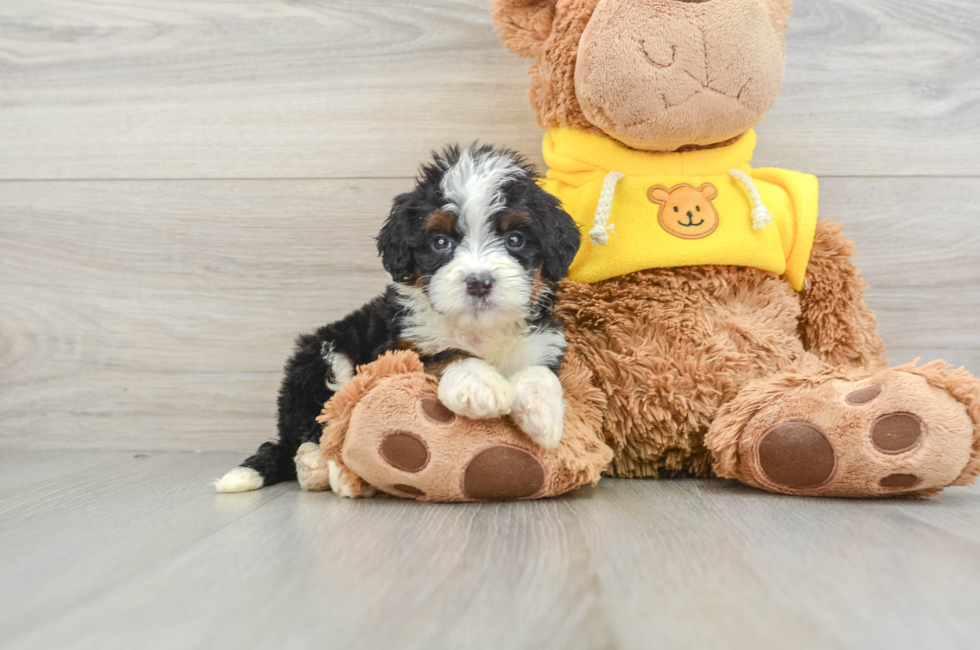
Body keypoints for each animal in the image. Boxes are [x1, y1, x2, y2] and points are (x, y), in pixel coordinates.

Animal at [216, 143, 580, 492]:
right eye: (440, 242)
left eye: (515, 239)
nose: (479, 282)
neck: (478, 329)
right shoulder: (396, 348)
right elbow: (446, 353)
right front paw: (480, 384)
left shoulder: (541, 343)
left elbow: (539, 371)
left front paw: (541, 411)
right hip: (324, 357)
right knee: (313, 429)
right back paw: (322, 467)